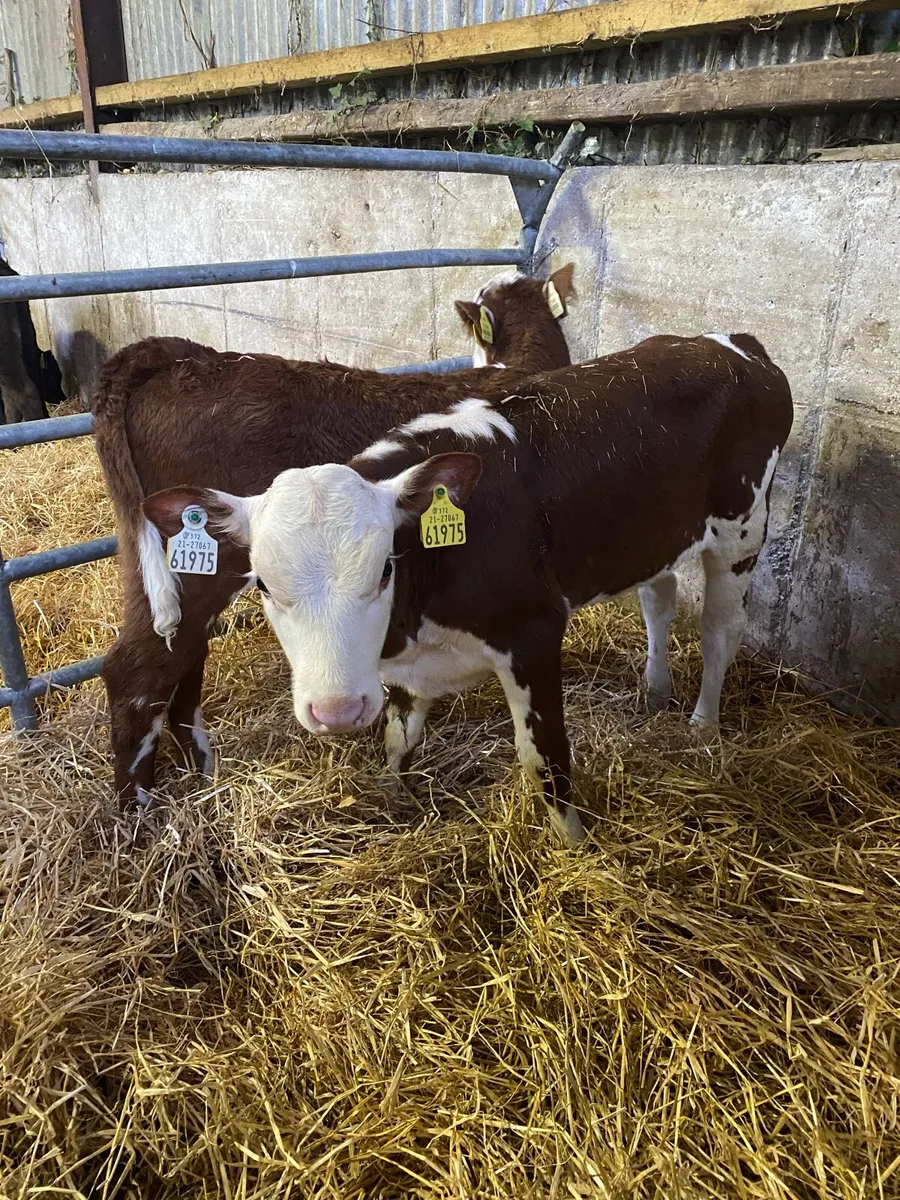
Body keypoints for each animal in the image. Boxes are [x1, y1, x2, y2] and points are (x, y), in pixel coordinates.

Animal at [143, 333, 794, 844]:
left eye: (384, 569)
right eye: (264, 586)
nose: (337, 711)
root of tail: (731, 345)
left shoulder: (533, 632)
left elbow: (545, 762)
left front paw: (578, 847)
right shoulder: (408, 669)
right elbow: (398, 737)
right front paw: (394, 800)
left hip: (741, 529)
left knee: (719, 632)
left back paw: (703, 725)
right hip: (650, 532)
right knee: (659, 600)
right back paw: (656, 693)